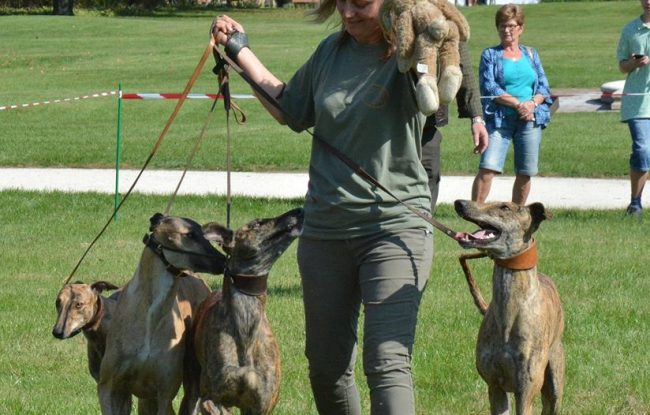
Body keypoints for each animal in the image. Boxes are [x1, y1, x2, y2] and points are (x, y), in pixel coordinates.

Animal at [97, 213, 227, 415]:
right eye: (189, 234)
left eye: (204, 235)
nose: (224, 261)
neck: (150, 314)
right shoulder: (109, 388)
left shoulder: (165, 394)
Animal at [454, 200, 564, 415]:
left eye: (505, 207)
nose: (459, 203)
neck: (509, 310)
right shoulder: (494, 386)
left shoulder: (526, 390)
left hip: (554, 380)